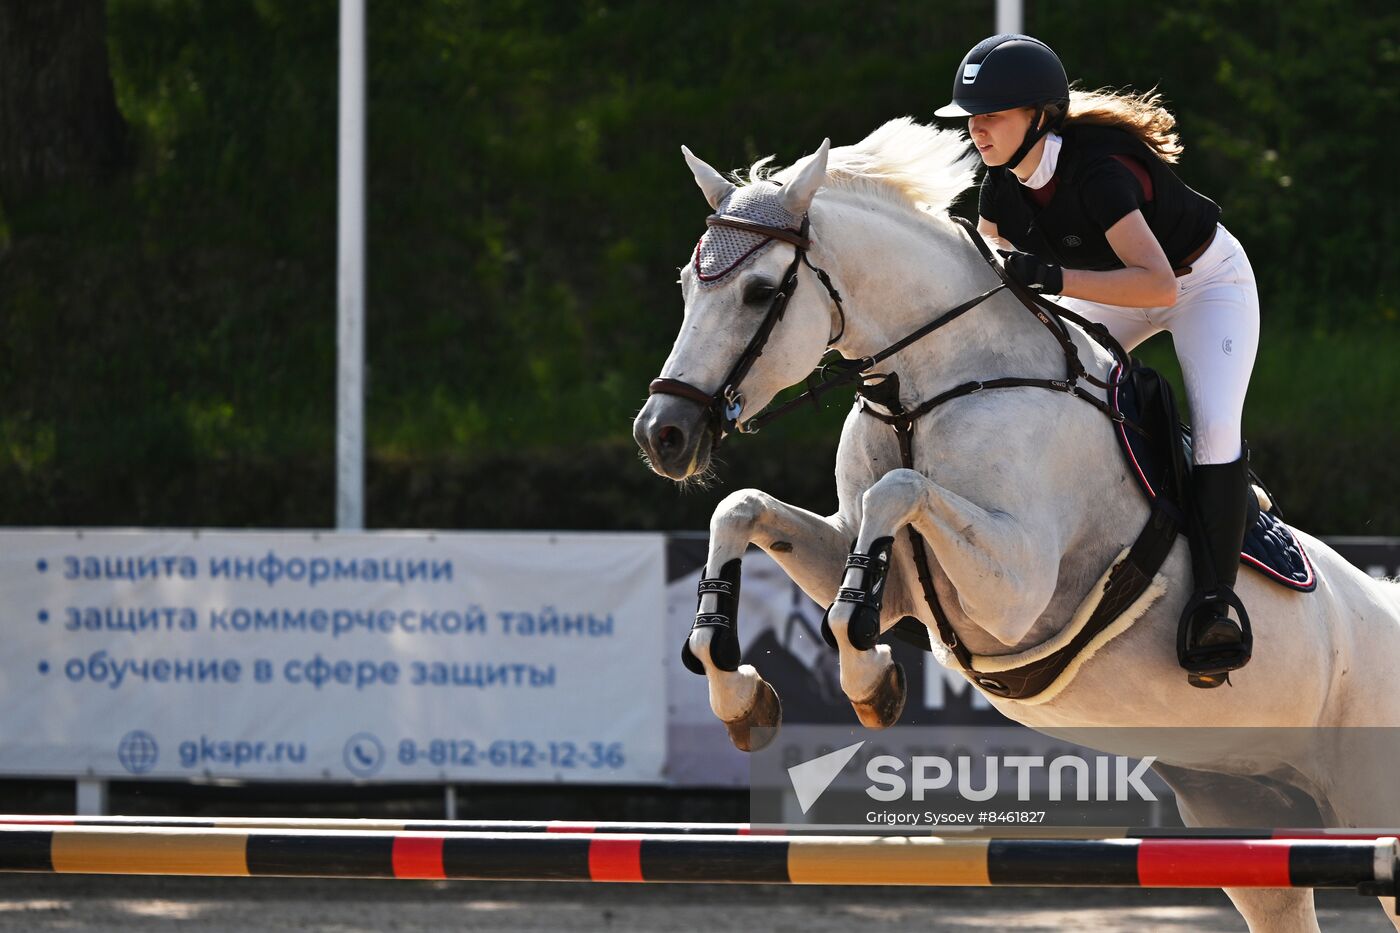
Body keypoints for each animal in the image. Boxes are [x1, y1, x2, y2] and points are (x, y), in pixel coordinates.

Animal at [638, 119, 1400, 924]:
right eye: (687, 285)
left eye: (759, 291)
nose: (662, 435)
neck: (927, 387)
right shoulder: (890, 575)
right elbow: (742, 509)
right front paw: (738, 687)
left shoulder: (1018, 590)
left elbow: (896, 495)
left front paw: (870, 678)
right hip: (1242, 810)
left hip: (1365, 799)